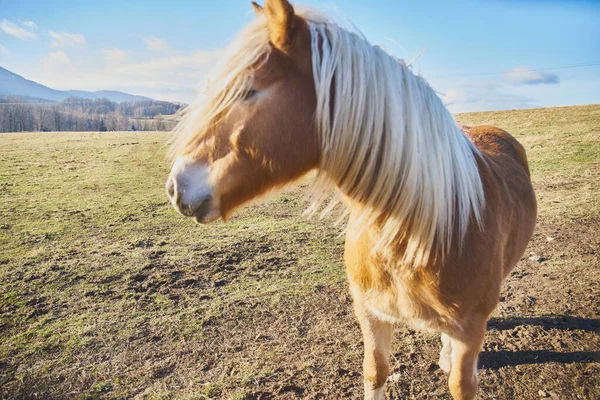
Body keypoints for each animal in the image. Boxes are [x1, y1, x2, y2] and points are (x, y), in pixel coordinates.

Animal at [163, 1, 536, 398]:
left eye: (249, 90)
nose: (176, 186)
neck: (426, 231)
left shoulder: (469, 329)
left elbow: (461, 382)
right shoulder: (369, 312)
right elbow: (375, 372)